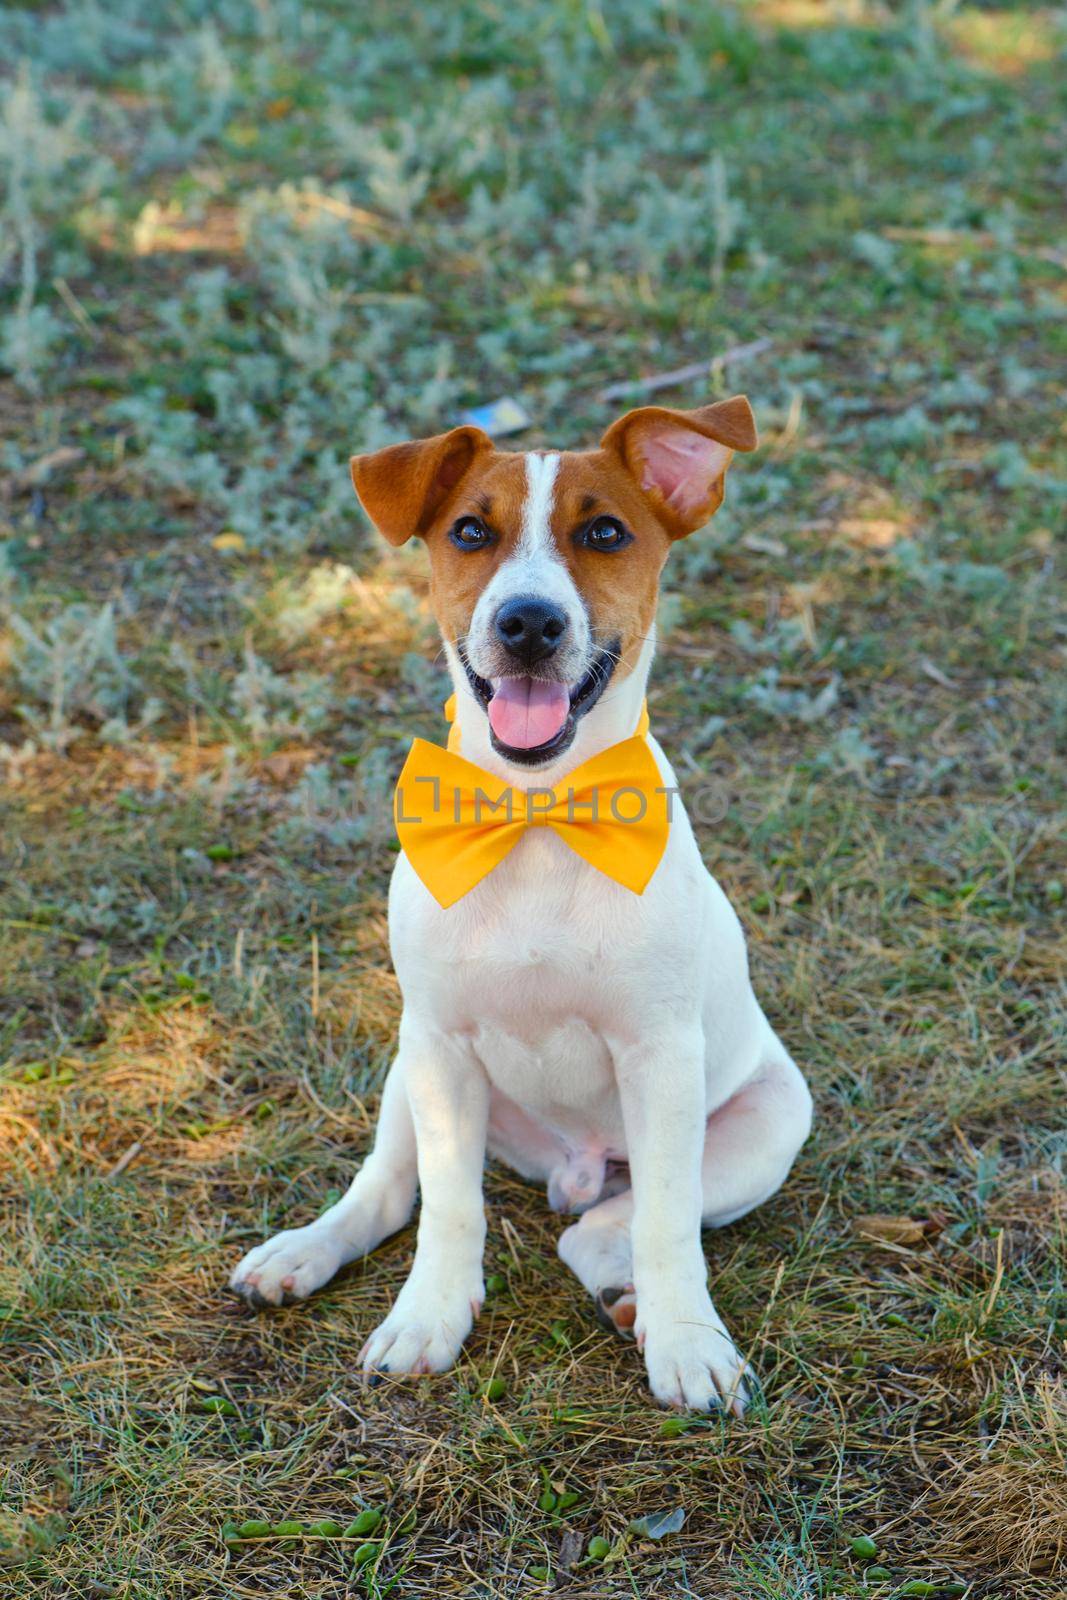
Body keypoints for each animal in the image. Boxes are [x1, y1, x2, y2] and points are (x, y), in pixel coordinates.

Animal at [231, 396, 809, 1414]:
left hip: (767, 1122)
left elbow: (666, 1223)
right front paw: (428, 1317)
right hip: (407, 1065)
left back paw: (631, 1295)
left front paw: (688, 1343)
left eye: (605, 532)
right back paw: (302, 1251)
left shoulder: (662, 1059)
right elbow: (448, 1206)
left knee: (604, 1226)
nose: (528, 622)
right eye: (469, 532)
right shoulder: (440, 1044)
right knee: (389, 1185)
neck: (536, 815)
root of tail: (571, 1168)